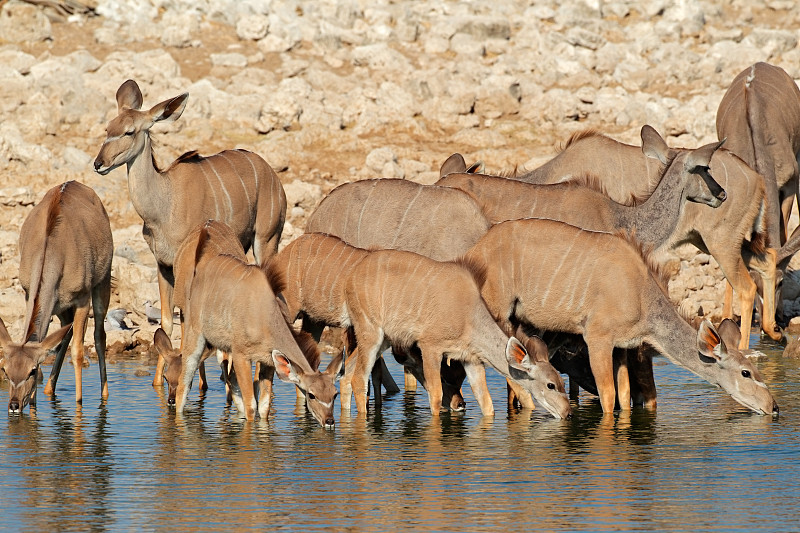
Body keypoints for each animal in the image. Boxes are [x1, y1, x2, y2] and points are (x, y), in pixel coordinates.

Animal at [94, 78, 288, 386]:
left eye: (129, 131)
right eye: (107, 129)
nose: (98, 163)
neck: (164, 202)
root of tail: (272, 175)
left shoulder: (183, 265)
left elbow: (185, 320)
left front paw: (198, 383)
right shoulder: (162, 264)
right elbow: (166, 322)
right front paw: (158, 383)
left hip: (267, 241)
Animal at [340, 247, 572, 418]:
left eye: (562, 382)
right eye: (551, 385)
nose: (568, 413)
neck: (469, 317)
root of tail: (350, 278)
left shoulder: (471, 360)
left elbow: (485, 401)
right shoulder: (430, 347)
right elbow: (436, 395)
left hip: (384, 340)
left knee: (347, 372)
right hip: (370, 333)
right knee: (358, 378)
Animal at [466, 217, 780, 416]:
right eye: (746, 372)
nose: (774, 407)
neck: (642, 295)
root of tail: (475, 249)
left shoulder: (621, 348)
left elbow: (625, 395)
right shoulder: (597, 339)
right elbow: (607, 396)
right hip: (499, 312)